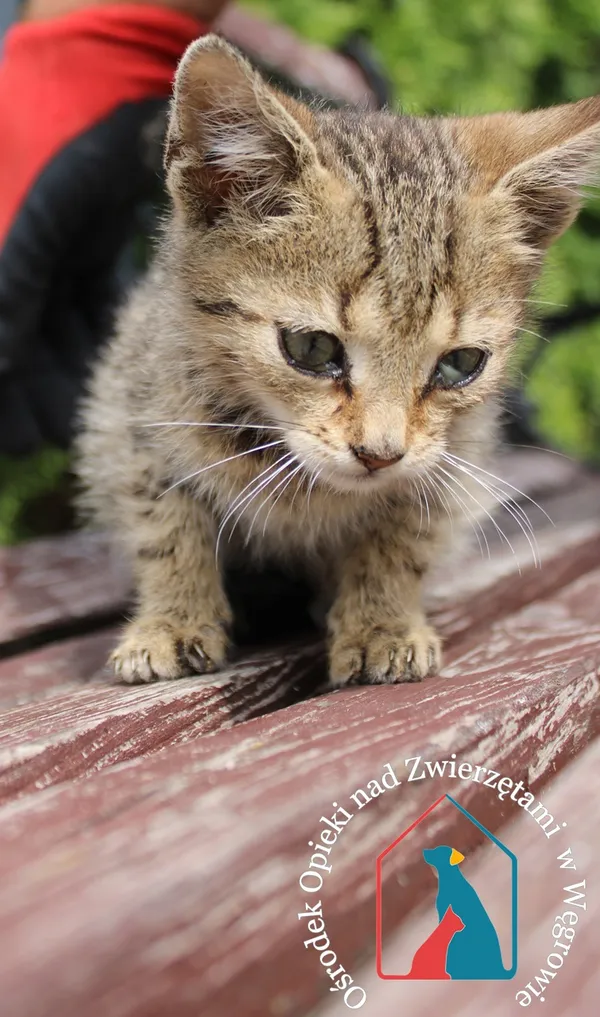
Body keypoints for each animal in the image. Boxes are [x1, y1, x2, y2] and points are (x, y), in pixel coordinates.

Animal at [76, 33, 600, 683]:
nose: (379, 454)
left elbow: (403, 537)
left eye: (460, 365)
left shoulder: (452, 459)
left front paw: (382, 623)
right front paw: (174, 620)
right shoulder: (133, 417)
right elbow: (167, 525)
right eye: (311, 348)